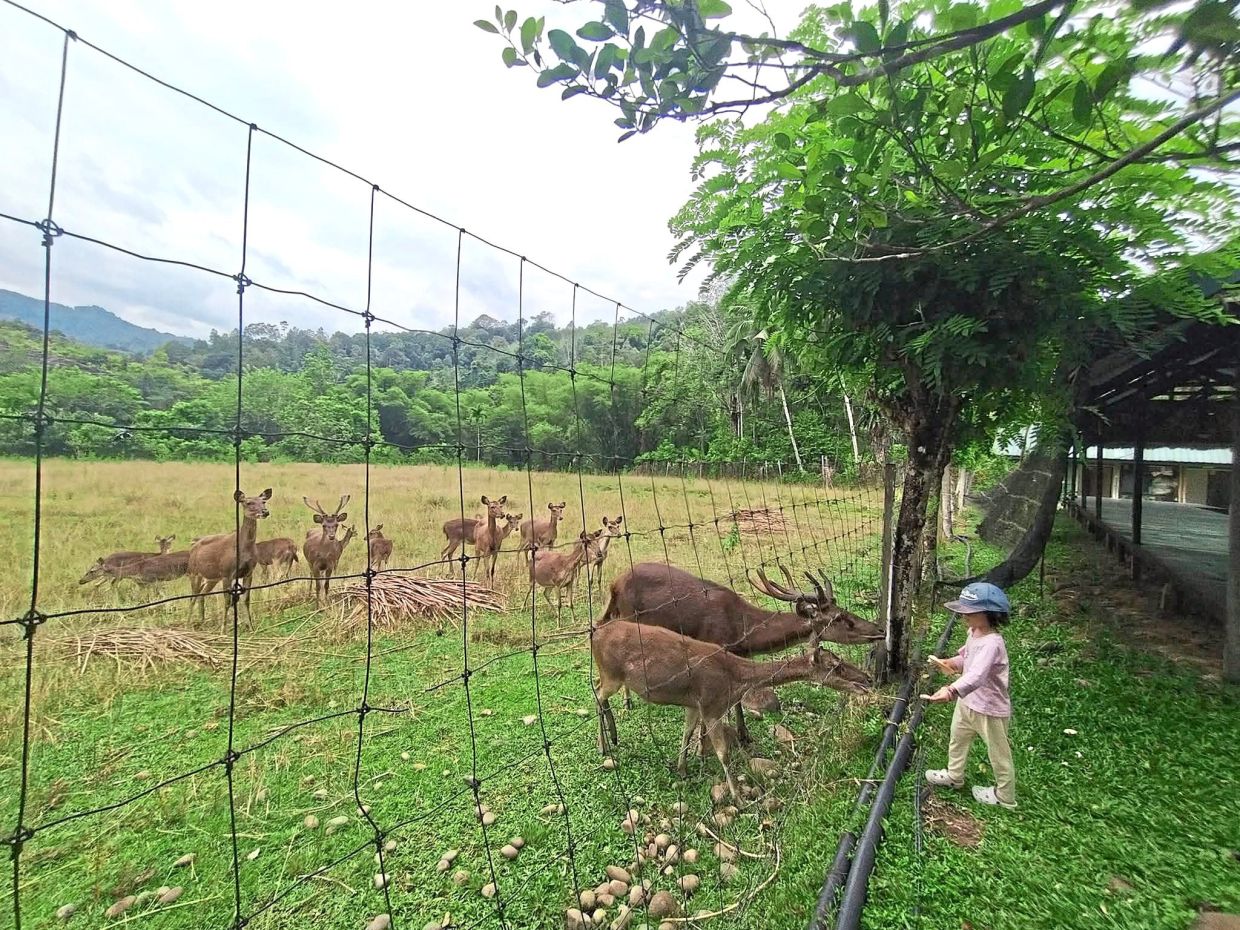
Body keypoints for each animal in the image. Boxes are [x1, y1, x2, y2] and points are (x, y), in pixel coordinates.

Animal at [187, 488, 273, 627]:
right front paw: (224, 628)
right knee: (192, 597)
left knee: (201, 594)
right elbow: (227, 602)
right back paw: (188, 623)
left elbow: (246, 600)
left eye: (263, 501)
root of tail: (193, 547)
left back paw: (202, 621)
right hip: (194, 573)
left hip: (212, 577)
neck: (243, 549)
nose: (265, 512)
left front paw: (251, 626)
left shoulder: (249, 572)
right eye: (248, 503)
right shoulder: (227, 573)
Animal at [592, 620, 870, 798]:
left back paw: (612, 736)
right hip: (612, 673)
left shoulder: (695, 703)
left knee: (596, 688)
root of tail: (594, 635)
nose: (866, 680)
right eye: (836, 667)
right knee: (596, 692)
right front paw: (738, 796)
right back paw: (605, 744)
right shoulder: (712, 704)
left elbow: (687, 733)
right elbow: (723, 753)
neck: (735, 680)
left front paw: (682, 769)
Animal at [601, 561, 883, 745]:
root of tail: (613, 585)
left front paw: (744, 735)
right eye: (840, 618)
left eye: (845, 610)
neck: (742, 633)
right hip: (627, 615)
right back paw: (626, 702)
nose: (880, 629)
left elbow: (738, 699)